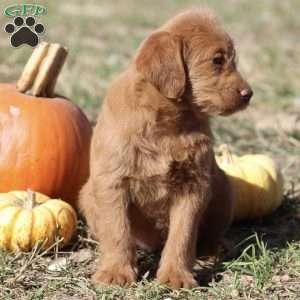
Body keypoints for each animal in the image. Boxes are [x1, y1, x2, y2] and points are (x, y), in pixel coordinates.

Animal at [78, 8, 252, 288]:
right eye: (217, 60)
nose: (249, 94)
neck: (168, 122)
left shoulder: (193, 186)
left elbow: (182, 237)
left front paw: (176, 276)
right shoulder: (112, 182)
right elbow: (117, 231)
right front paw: (116, 271)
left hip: (223, 188)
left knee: (211, 233)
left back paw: (215, 249)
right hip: (87, 194)